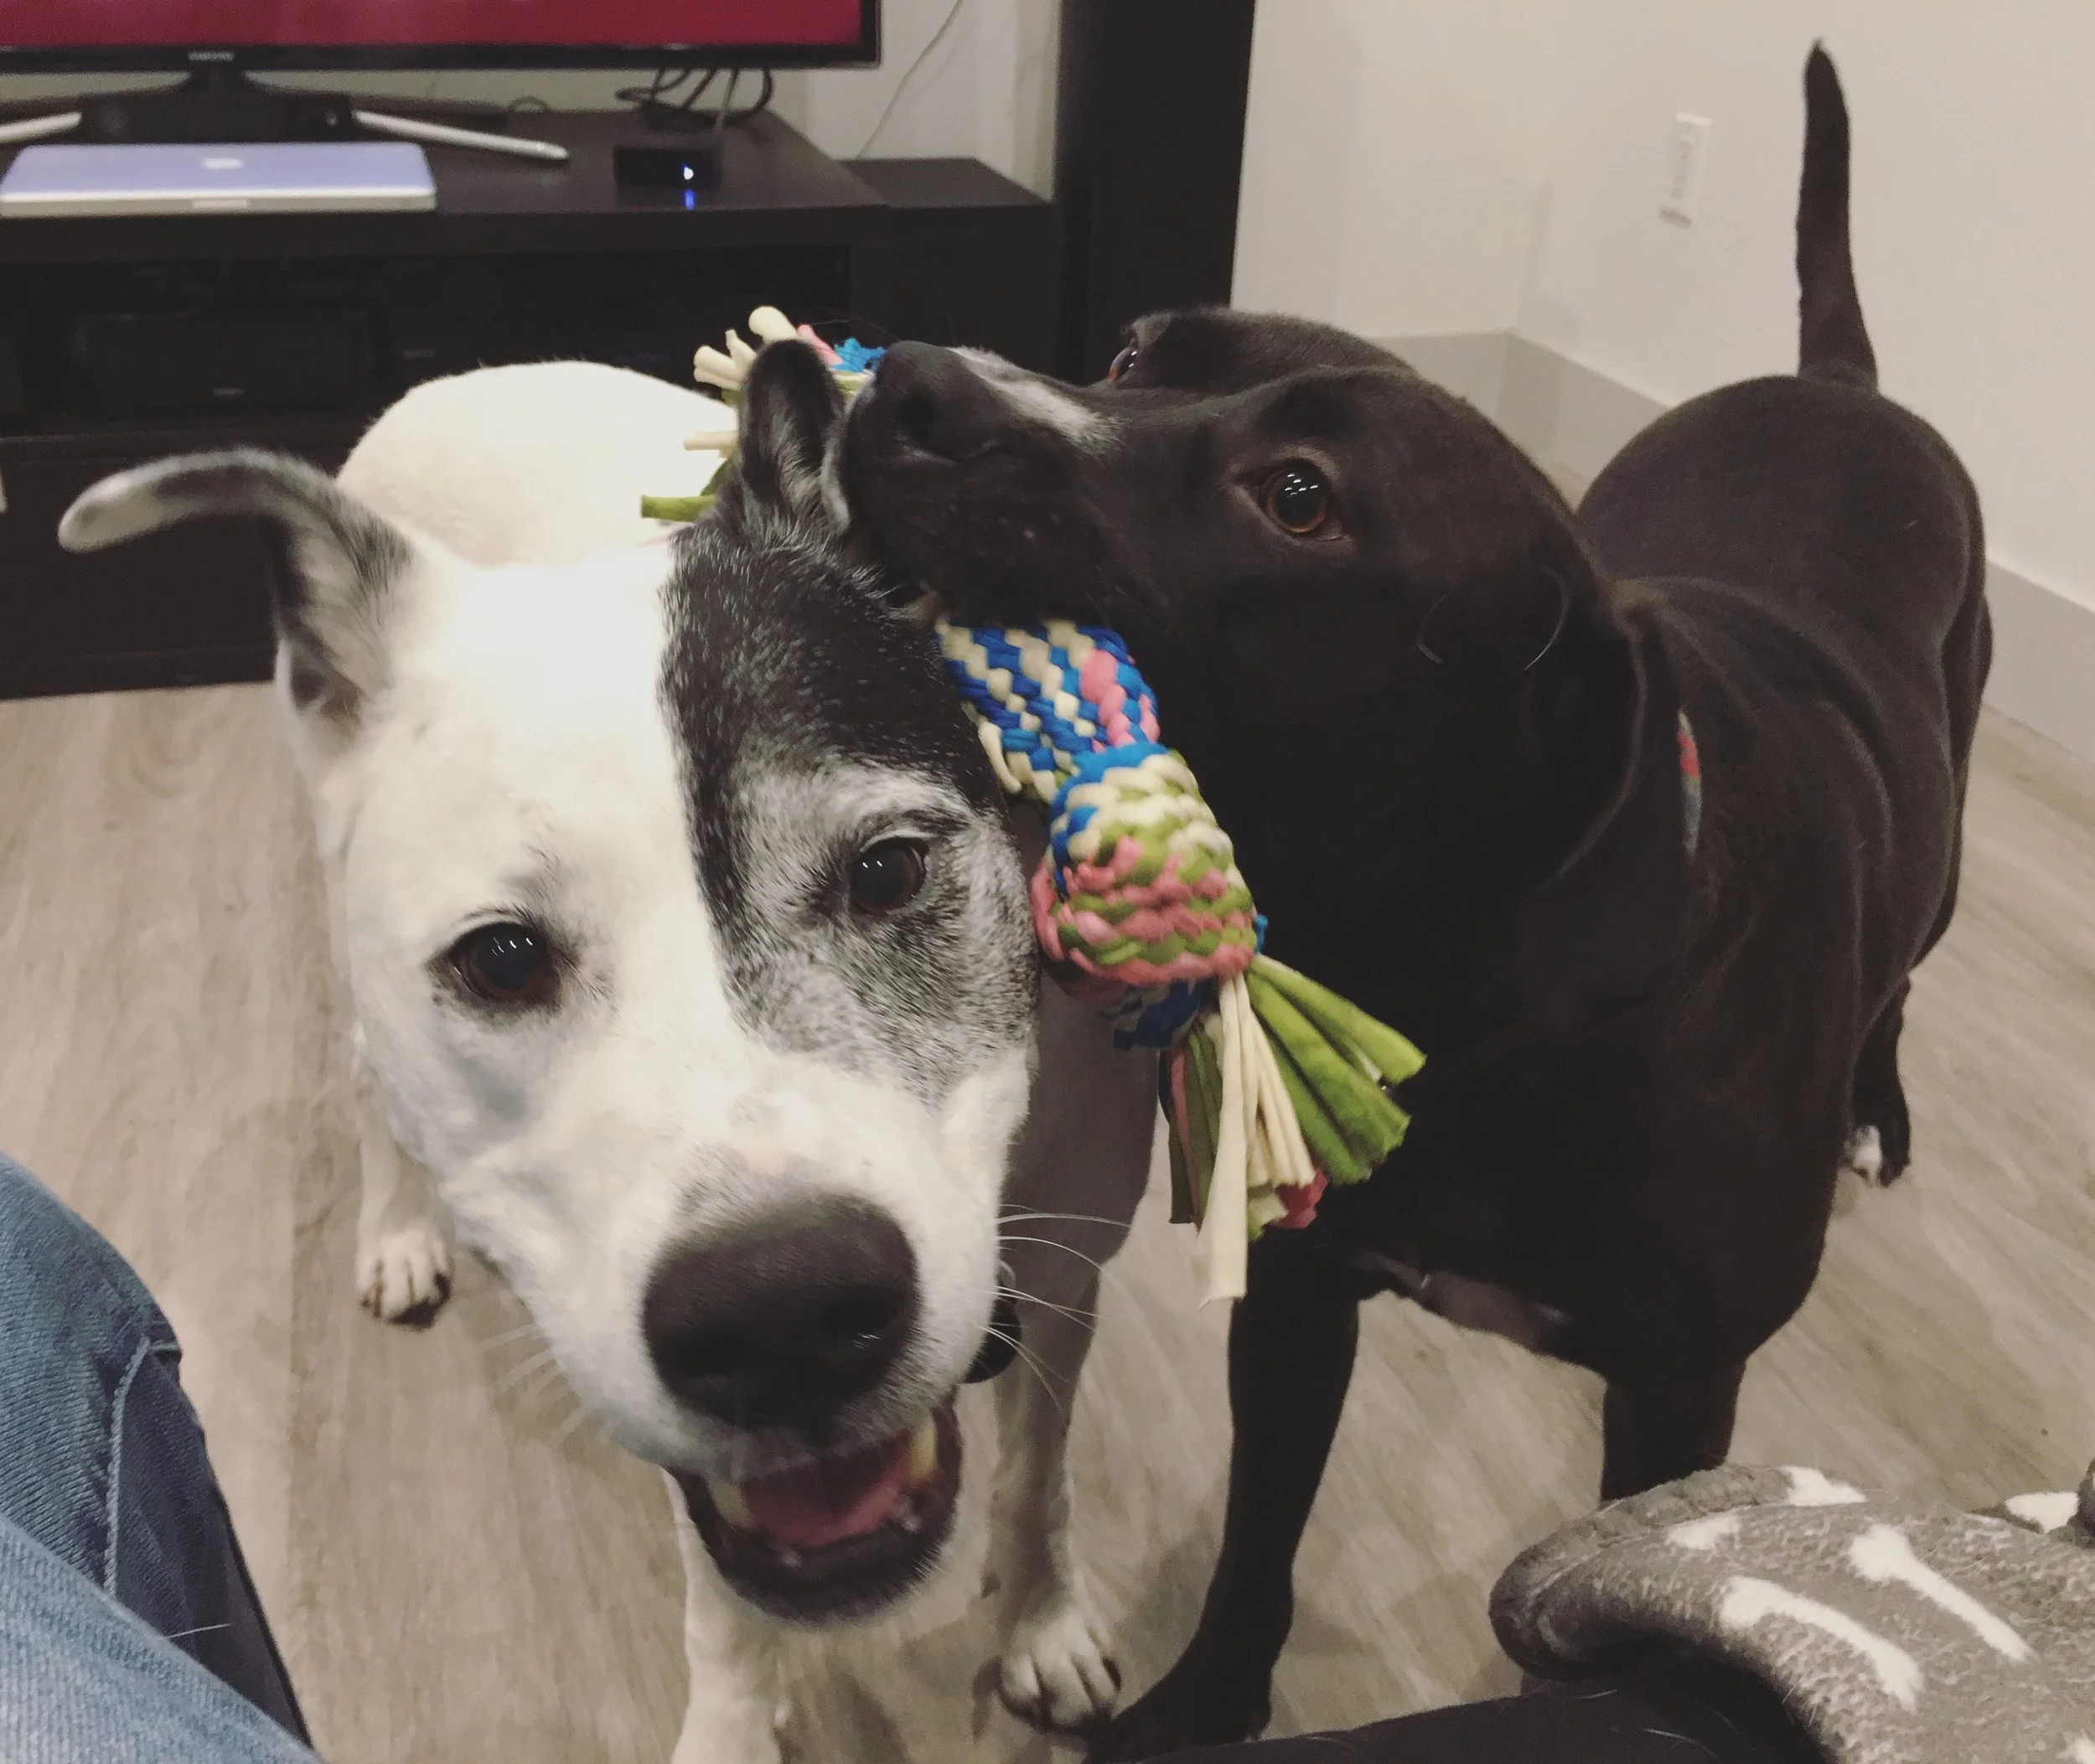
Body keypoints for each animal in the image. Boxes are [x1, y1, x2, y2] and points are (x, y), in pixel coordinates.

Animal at [57, 342, 1155, 1759]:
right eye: (501, 959)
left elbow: (1041, 1465)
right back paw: (398, 1231)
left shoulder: (1073, 1266)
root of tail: (478, 371)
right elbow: (724, 1593)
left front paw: (1040, 1618)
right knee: (364, 1080)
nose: (785, 1311)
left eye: (890, 870)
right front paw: (738, 1723)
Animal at [838, 48, 1990, 1756]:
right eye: (1137, 351)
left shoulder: (1678, 1399)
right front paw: (1205, 1704)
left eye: (1300, 496)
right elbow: (1258, 1542)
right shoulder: (1300, 1297)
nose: (913, 381)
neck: (1451, 978)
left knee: (1904, 977)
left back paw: (1878, 1103)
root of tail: (1837, 388)